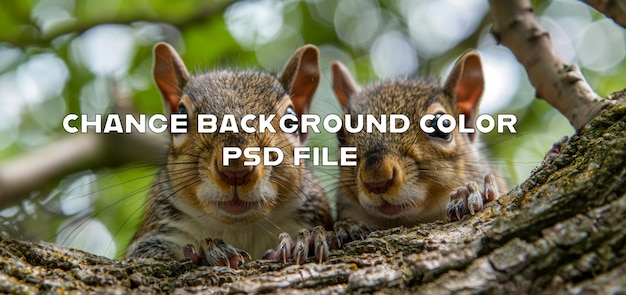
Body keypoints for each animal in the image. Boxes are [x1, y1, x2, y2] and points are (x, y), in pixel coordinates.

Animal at [123, 42, 334, 270]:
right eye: (180, 116)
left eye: (291, 119)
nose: (235, 168)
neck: (239, 230)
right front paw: (210, 249)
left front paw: (307, 240)